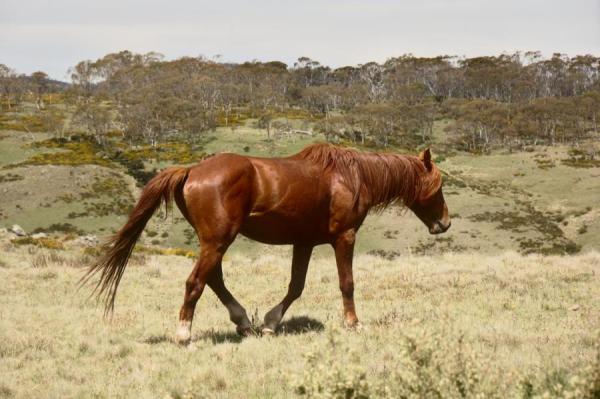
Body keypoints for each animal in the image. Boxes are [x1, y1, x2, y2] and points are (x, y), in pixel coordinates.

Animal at [84, 143, 450, 344]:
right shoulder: (344, 237)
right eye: (439, 184)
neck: (351, 177)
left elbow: (296, 286)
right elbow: (347, 283)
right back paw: (185, 334)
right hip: (218, 240)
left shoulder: (304, 243)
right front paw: (353, 323)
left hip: (214, 242)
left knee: (213, 279)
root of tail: (191, 171)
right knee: (196, 282)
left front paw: (271, 323)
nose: (445, 223)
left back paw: (244, 323)